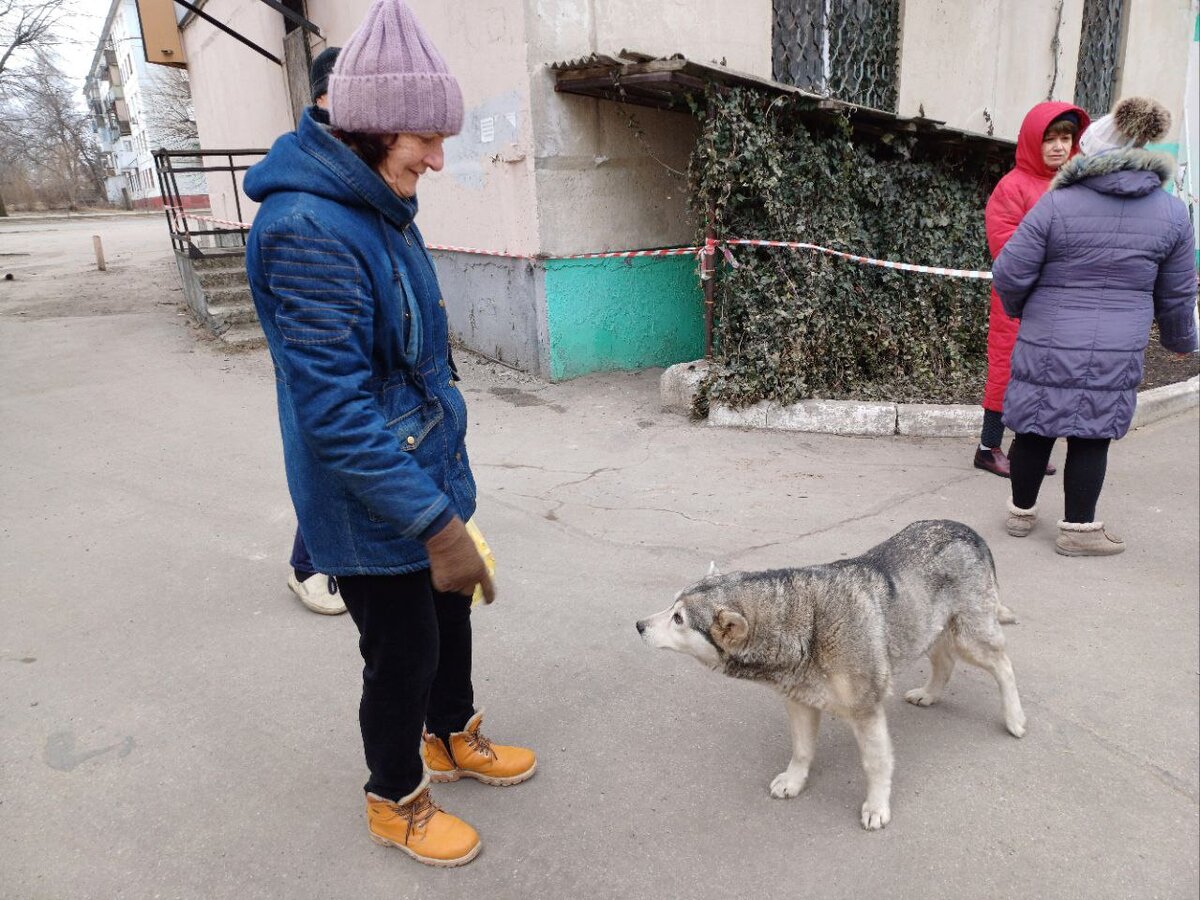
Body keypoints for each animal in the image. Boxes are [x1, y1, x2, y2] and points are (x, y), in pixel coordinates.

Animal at [638, 520, 1022, 830]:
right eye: (671, 605)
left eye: (678, 619)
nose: (639, 625)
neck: (806, 624)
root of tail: (969, 531)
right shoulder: (799, 702)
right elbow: (802, 749)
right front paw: (795, 780)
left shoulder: (867, 712)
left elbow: (876, 764)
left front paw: (877, 806)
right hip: (925, 629)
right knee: (945, 661)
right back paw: (930, 693)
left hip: (971, 639)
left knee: (1003, 665)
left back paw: (1014, 718)